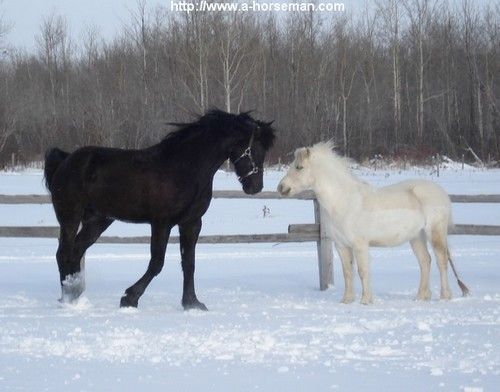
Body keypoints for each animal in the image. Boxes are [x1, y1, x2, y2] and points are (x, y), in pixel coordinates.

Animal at [44, 109, 276, 310]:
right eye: (255, 149)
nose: (255, 187)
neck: (186, 167)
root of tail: (66, 160)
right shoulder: (161, 223)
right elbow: (157, 262)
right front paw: (130, 297)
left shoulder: (191, 223)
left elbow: (189, 263)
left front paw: (192, 303)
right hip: (70, 216)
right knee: (63, 253)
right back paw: (69, 298)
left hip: (98, 220)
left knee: (76, 251)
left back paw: (75, 295)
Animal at [278, 142, 468, 304]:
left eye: (299, 167)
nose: (281, 188)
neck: (345, 201)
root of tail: (441, 193)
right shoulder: (341, 246)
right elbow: (348, 272)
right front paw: (346, 300)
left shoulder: (360, 244)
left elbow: (362, 271)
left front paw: (366, 300)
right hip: (416, 236)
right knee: (425, 261)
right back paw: (420, 297)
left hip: (435, 233)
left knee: (441, 261)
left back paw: (445, 296)